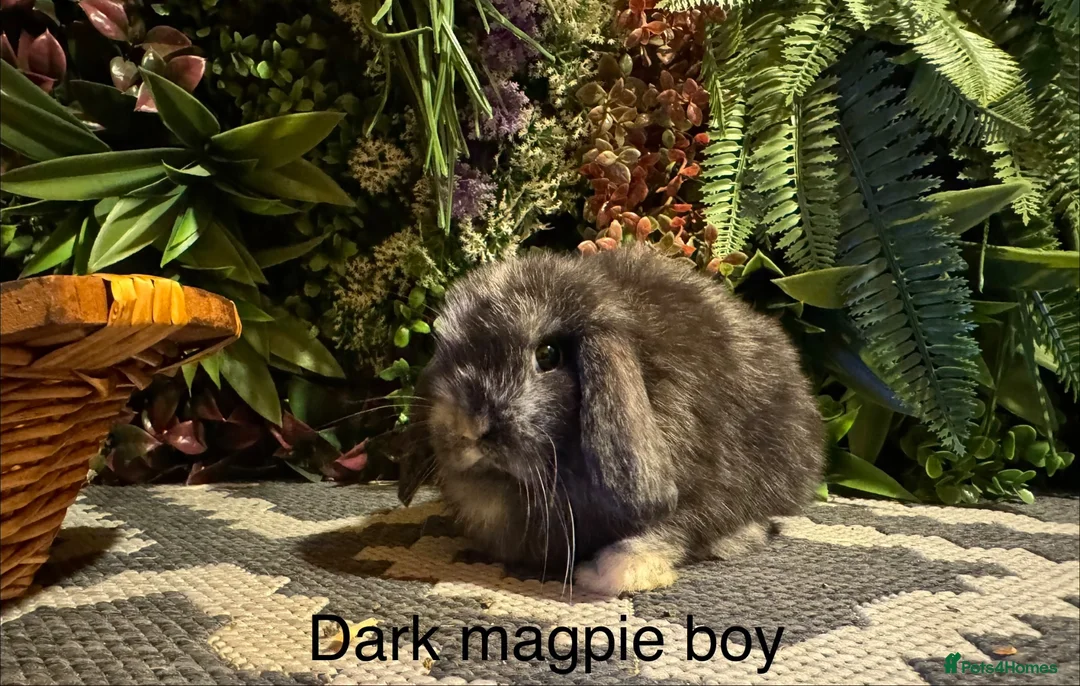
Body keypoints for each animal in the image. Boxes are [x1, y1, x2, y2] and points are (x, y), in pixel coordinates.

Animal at [394, 244, 825, 596]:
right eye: (447, 352)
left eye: (548, 354)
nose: (466, 427)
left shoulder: (706, 487)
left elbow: (674, 528)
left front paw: (615, 571)